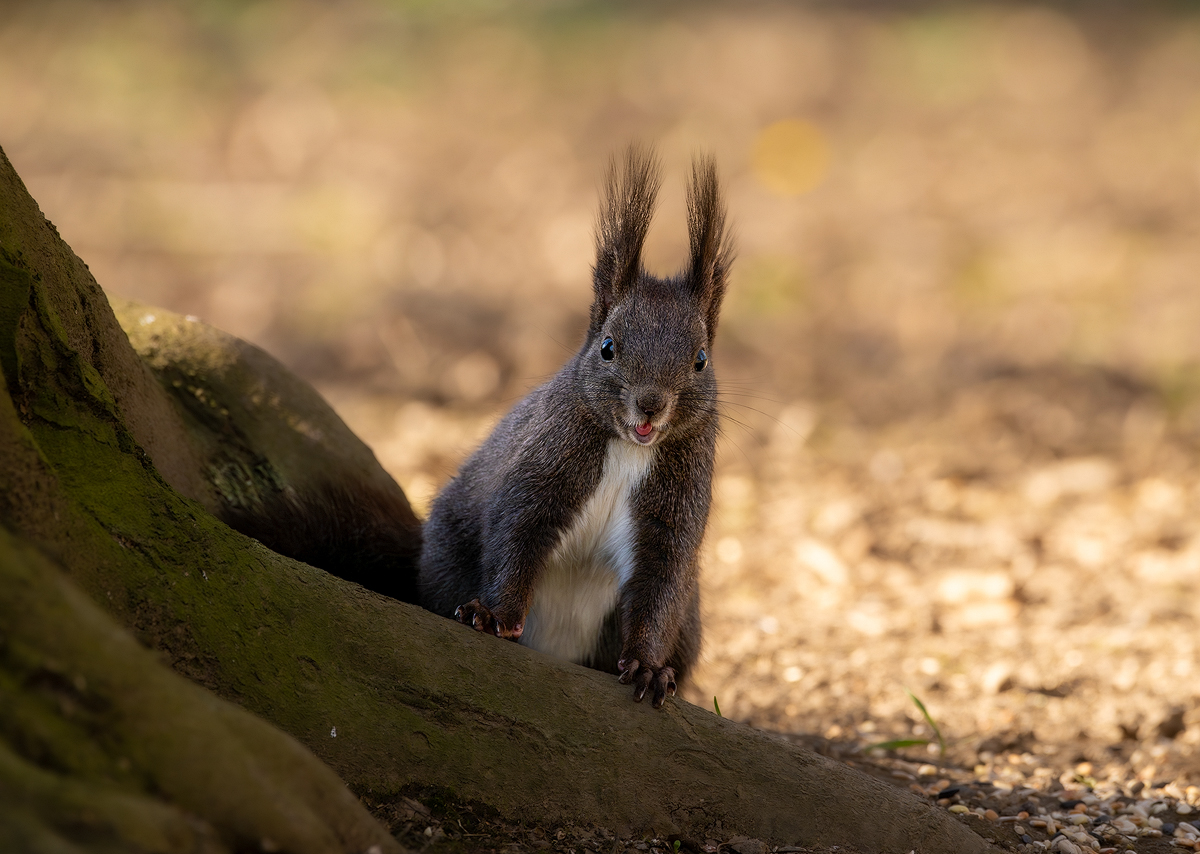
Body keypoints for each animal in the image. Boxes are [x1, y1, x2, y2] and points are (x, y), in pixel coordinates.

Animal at [417, 146, 729, 705]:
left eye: (700, 360)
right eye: (607, 347)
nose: (650, 405)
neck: (629, 449)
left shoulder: (673, 514)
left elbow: (662, 585)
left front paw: (649, 669)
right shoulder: (546, 465)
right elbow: (517, 532)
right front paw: (493, 615)